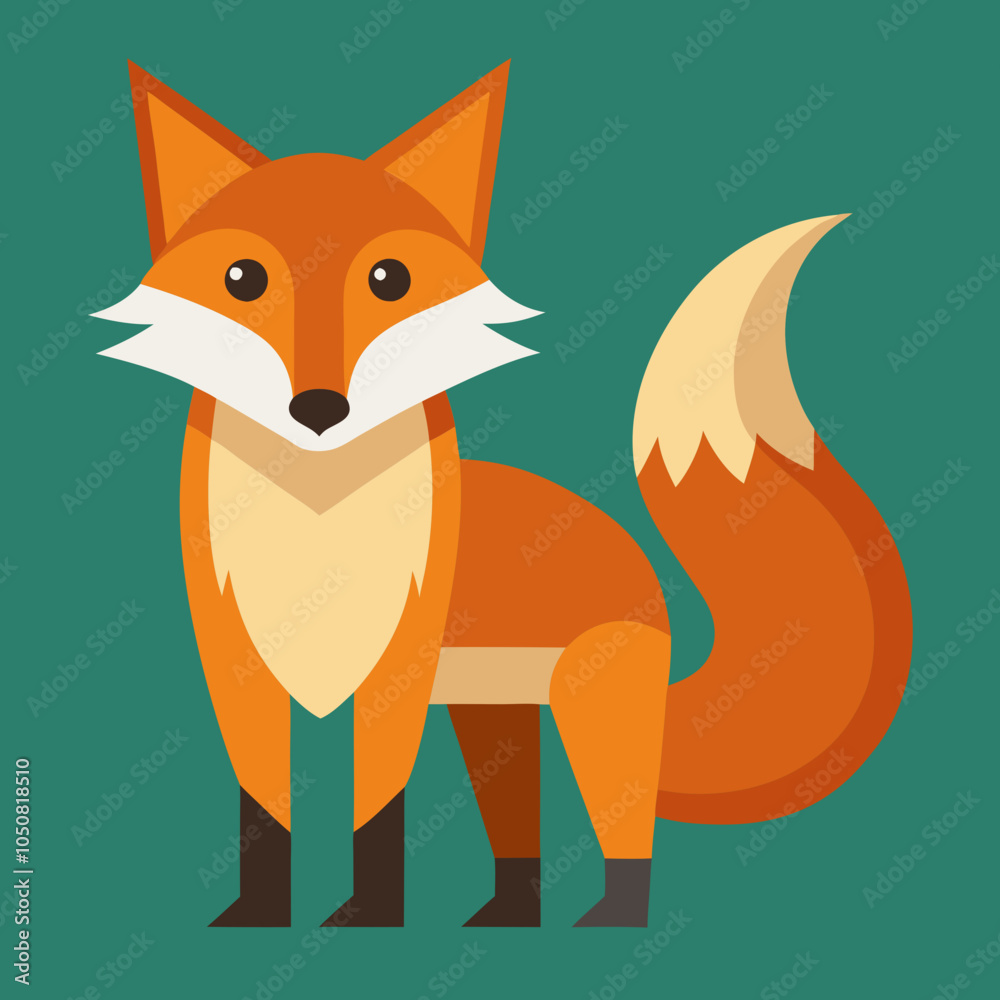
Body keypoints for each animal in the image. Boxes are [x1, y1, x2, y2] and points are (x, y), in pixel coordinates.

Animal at [93, 60, 912, 929]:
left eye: (390, 280)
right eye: (242, 280)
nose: (318, 409)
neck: (321, 519)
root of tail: (647, 581)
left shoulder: (399, 671)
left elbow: (375, 806)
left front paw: (370, 917)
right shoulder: (238, 663)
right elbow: (265, 807)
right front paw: (262, 918)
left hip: (588, 706)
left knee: (626, 830)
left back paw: (611, 919)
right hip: (495, 716)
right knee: (520, 836)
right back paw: (508, 914)